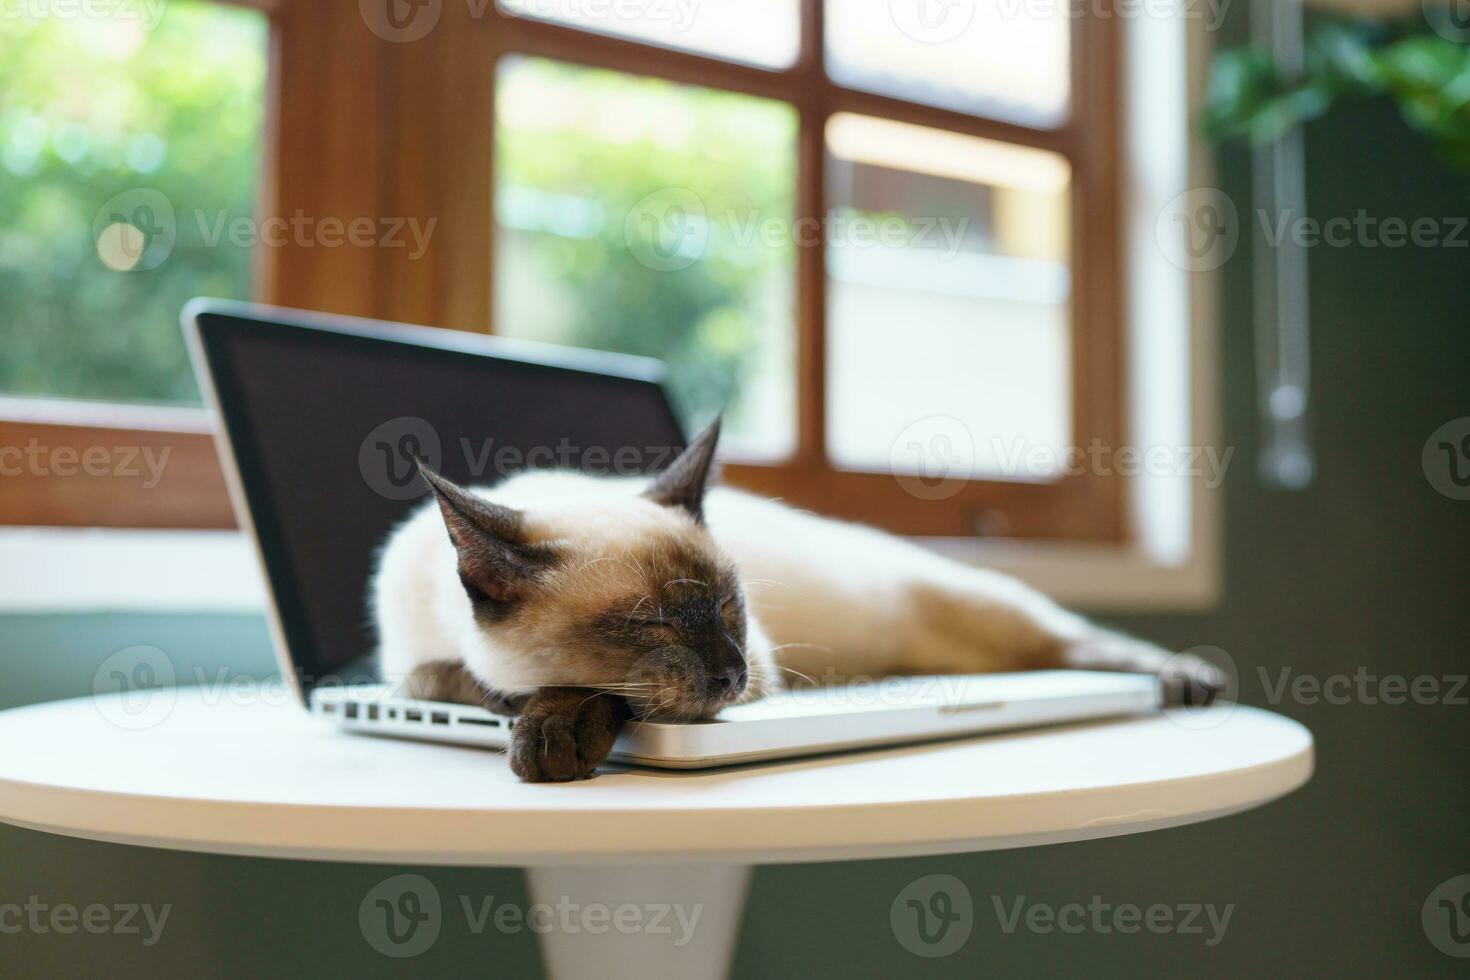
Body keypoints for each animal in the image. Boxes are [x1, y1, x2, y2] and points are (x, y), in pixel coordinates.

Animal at [373, 420, 1223, 781]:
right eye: (651, 623)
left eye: (727, 608)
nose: (728, 674)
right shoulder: (406, 672)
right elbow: (466, 680)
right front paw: (528, 716)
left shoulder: (767, 665)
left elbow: (586, 690)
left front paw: (549, 739)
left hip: (990, 614)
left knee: (1081, 643)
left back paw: (1188, 681)